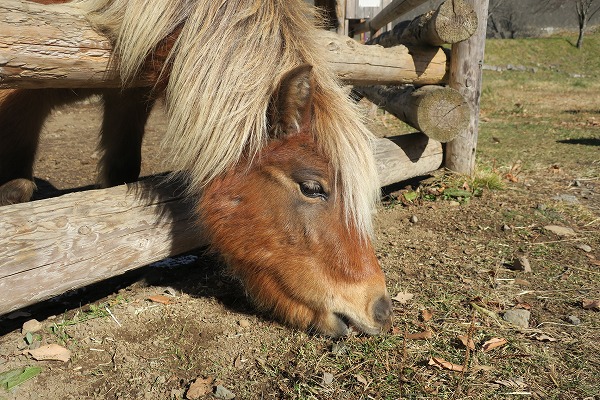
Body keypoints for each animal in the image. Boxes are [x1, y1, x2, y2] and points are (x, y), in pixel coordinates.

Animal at [0, 0, 392, 338]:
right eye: (312, 188)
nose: (381, 310)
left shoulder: (127, 94)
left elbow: (122, 172)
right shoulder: (26, 82)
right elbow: (16, 186)